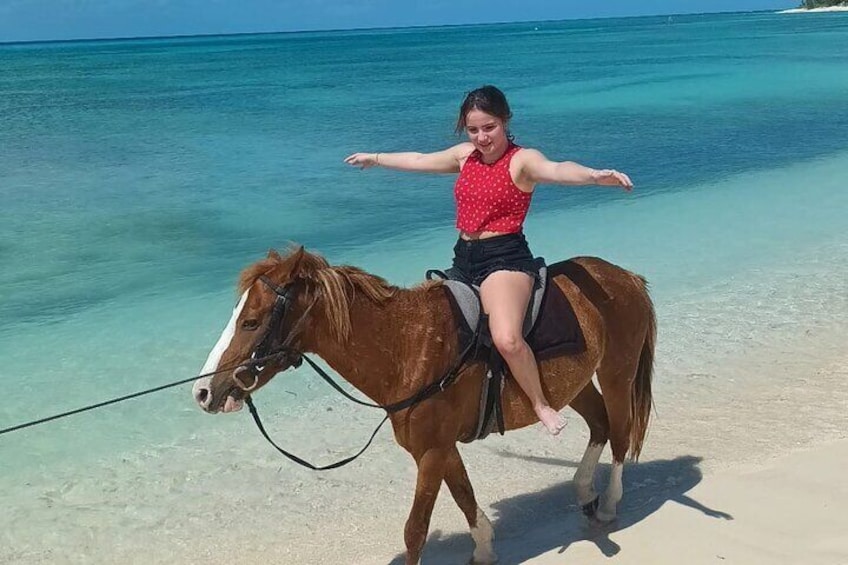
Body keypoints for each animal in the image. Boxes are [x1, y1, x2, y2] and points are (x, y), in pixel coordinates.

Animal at [192, 248, 656, 564]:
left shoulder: (431, 453)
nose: (203, 392)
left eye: (250, 322)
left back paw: (609, 503)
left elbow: (415, 529)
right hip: (574, 387)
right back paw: (584, 490)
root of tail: (626, 277)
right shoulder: (440, 449)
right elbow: (465, 496)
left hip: (616, 374)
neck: (407, 347)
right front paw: (484, 547)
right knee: (600, 425)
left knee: (619, 433)